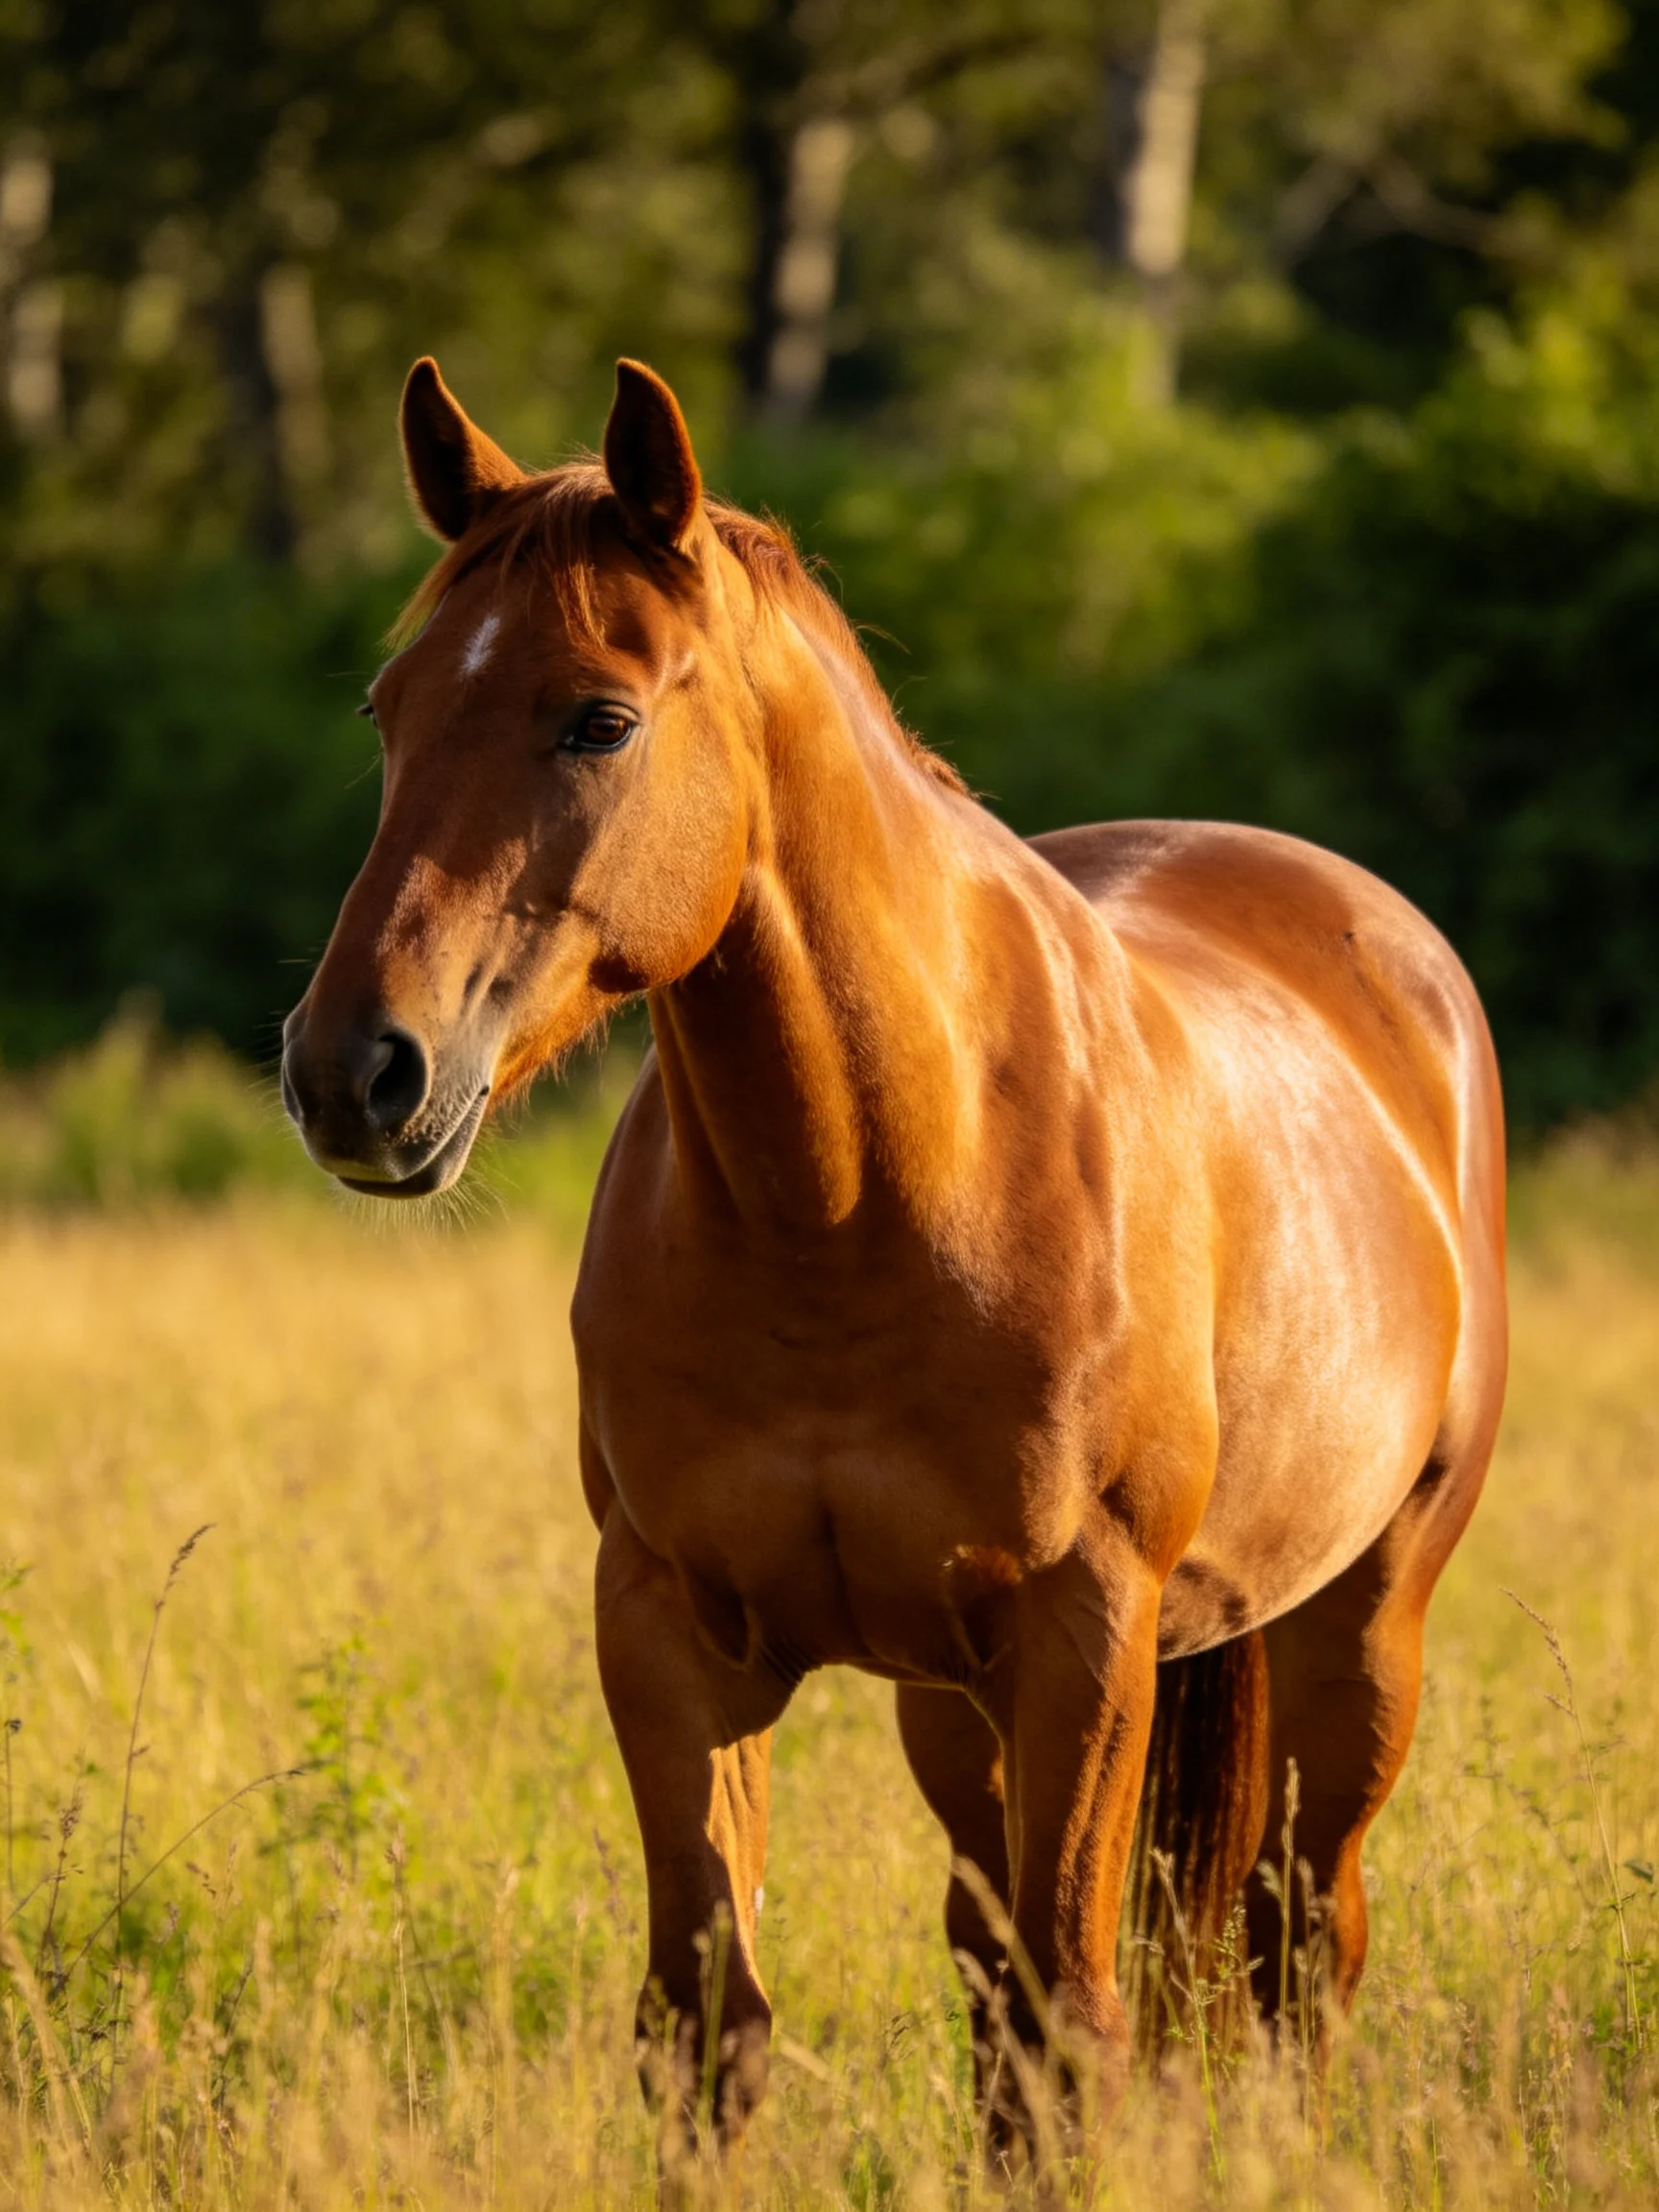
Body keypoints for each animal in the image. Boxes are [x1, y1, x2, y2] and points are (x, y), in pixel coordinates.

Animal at [281, 354, 1507, 2176]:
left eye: (599, 718)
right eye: (389, 708)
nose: (353, 1072)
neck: (857, 1202)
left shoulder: (1083, 1637)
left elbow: (1079, 2020)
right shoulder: (670, 1630)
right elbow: (709, 2026)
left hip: (1357, 1628)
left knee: (1298, 1943)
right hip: (958, 1711)